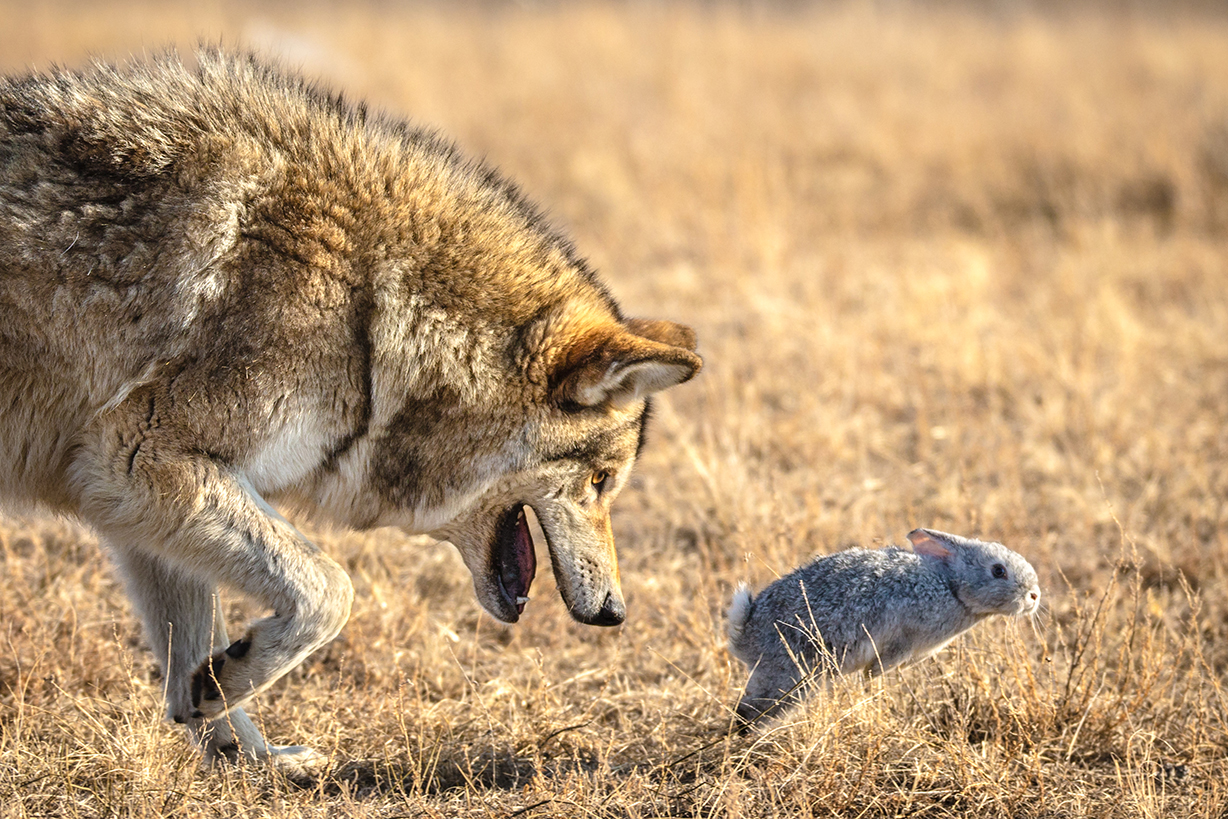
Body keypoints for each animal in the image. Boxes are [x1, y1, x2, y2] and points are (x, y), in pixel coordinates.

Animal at [0, 49, 702, 771]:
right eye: (601, 483)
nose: (616, 613)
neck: (367, 311)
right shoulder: (137, 458)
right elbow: (330, 590)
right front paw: (235, 693)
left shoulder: (131, 499)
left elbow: (191, 666)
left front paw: (247, 754)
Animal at [722, 527, 1041, 726]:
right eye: (998, 571)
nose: (1035, 596)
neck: (951, 587)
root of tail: (747, 635)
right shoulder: (898, 645)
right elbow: (874, 672)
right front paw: (873, 691)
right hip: (789, 676)